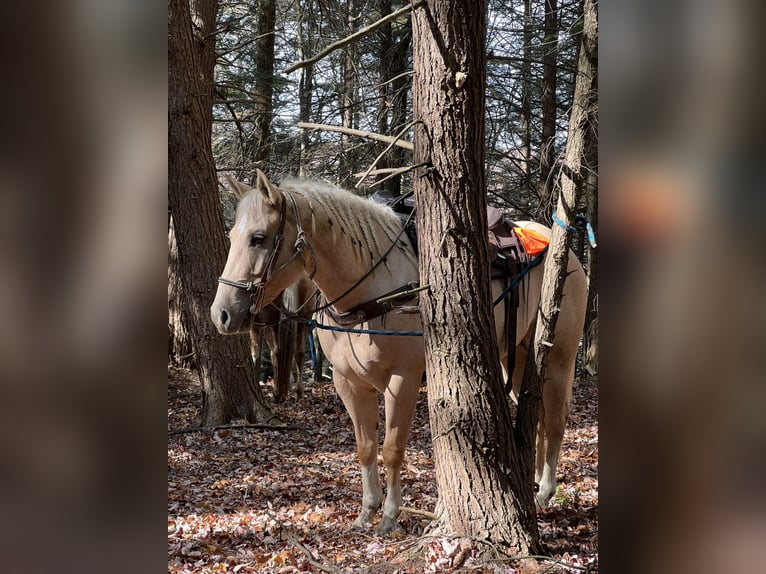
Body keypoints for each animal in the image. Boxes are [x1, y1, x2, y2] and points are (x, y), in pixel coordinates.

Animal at [210, 170, 588, 536]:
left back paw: (545, 490)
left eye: (258, 238)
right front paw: (367, 512)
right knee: (536, 415)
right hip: (516, 359)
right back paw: (534, 482)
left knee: (555, 419)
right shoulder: (349, 384)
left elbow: (391, 448)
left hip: (559, 357)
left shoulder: (402, 380)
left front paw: (390, 516)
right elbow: (365, 447)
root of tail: (562, 249)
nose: (221, 314)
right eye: (231, 235)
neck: (371, 290)